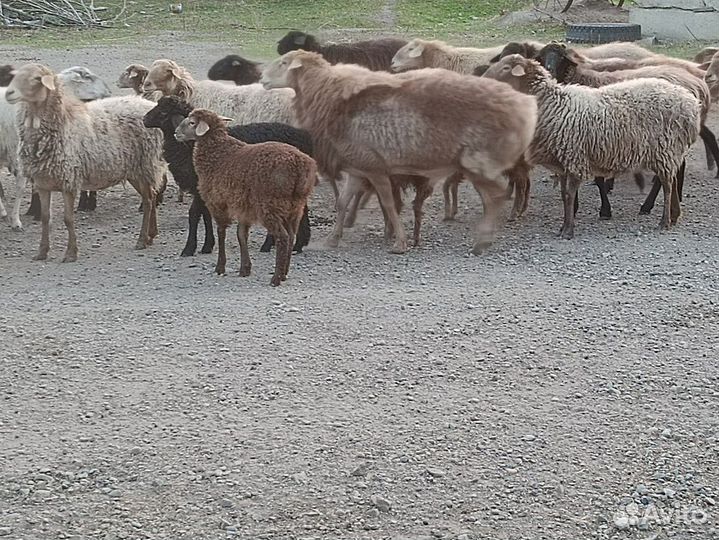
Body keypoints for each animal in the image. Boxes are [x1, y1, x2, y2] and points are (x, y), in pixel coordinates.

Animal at [5, 63, 166, 261]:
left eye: (36, 78)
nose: (9, 93)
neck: (63, 123)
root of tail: (147, 104)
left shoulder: (69, 180)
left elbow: (68, 219)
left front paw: (71, 253)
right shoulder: (43, 183)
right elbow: (45, 217)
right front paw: (42, 252)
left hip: (146, 164)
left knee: (149, 200)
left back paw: (142, 240)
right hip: (134, 170)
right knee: (150, 196)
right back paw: (151, 235)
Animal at [142, 95, 312, 256]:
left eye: (164, 112)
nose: (144, 120)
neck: (189, 147)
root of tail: (302, 136)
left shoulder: (200, 186)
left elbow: (194, 214)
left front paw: (189, 248)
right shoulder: (205, 189)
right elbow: (206, 215)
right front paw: (207, 245)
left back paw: (275, 245)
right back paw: (295, 244)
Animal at [174, 108, 317, 286]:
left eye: (192, 122)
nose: (175, 133)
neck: (218, 153)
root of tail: (298, 164)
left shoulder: (218, 203)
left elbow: (221, 232)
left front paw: (220, 267)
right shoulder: (242, 206)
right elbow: (241, 235)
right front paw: (245, 269)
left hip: (270, 204)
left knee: (282, 237)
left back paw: (276, 278)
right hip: (295, 206)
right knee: (291, 236)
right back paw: (284, 273)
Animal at [260, 50, 537, 255]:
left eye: (284, 62)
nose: (262, 78)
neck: (329, 96)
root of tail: (525, 106)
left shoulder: (376, 168)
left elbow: (389, 204)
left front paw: (400, 243)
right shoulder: (358, 167)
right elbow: (342, 203)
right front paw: (333, 239)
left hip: (479, 161)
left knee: (497, 195)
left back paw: (482, 241)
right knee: (494, 196)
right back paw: (484, 238)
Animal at [483, 55, 701, 239]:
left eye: (505, 67)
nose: (483, 78)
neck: (552, 104)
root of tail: (690, 104)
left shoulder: (574, 156)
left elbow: (569, 195)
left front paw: (568, 231)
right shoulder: (563, 161)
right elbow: (564, 196)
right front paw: (563, 227)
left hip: (665, 148)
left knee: (667, 184)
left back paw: (664, 221)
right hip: (670, 151)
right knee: (672, 180)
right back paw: (674, 216)